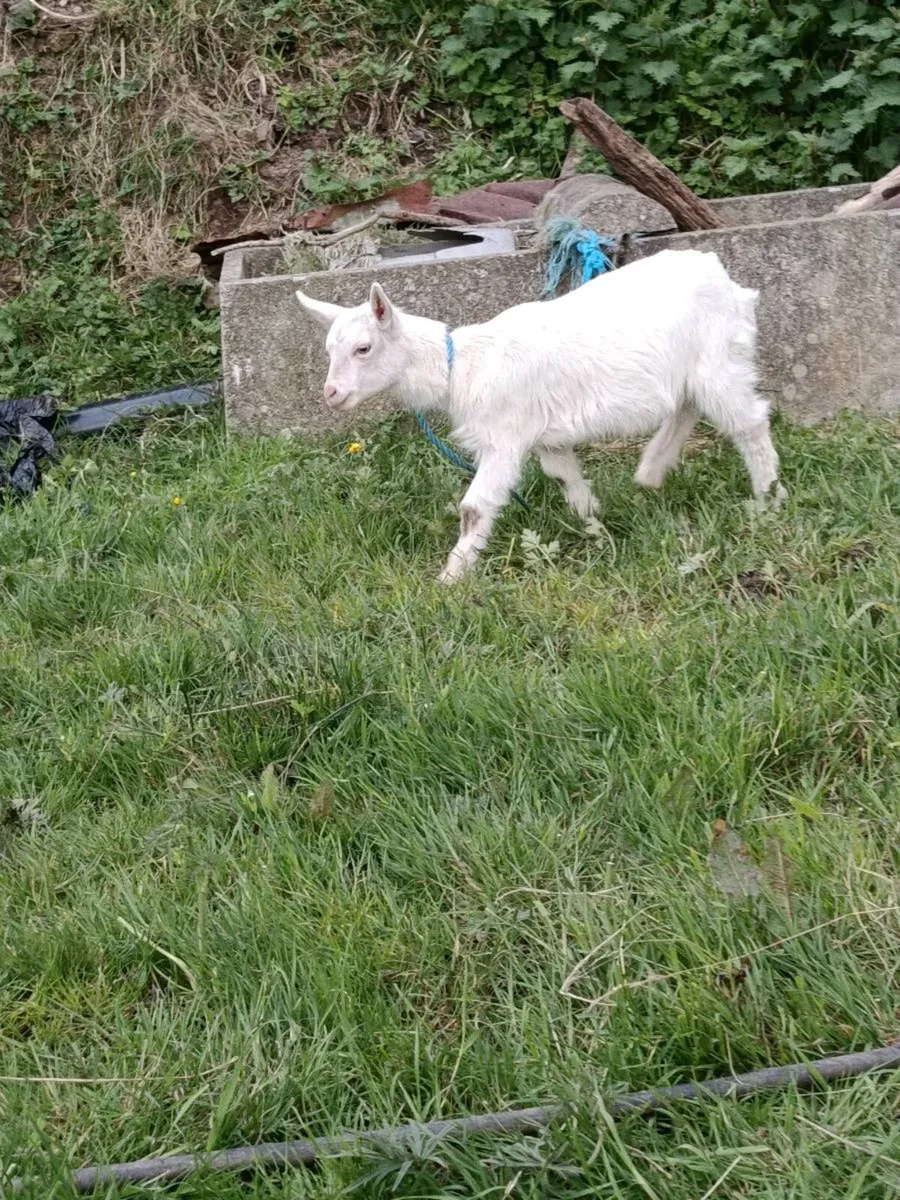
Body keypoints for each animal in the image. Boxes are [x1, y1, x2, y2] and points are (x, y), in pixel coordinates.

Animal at [295, 249, 780, 583]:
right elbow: (565, 478)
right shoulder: (546, 435)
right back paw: (651, 472)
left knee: (748, 422)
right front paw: (596, 527)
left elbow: (474, 508)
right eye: (329, 350)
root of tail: (722, 274)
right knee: (687, 406)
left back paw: (768, 501)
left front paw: (449, 579)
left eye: (364, 348)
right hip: (692, 369)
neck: (462, 367)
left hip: (720, 357)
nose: (331, 394)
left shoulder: (504, 438)